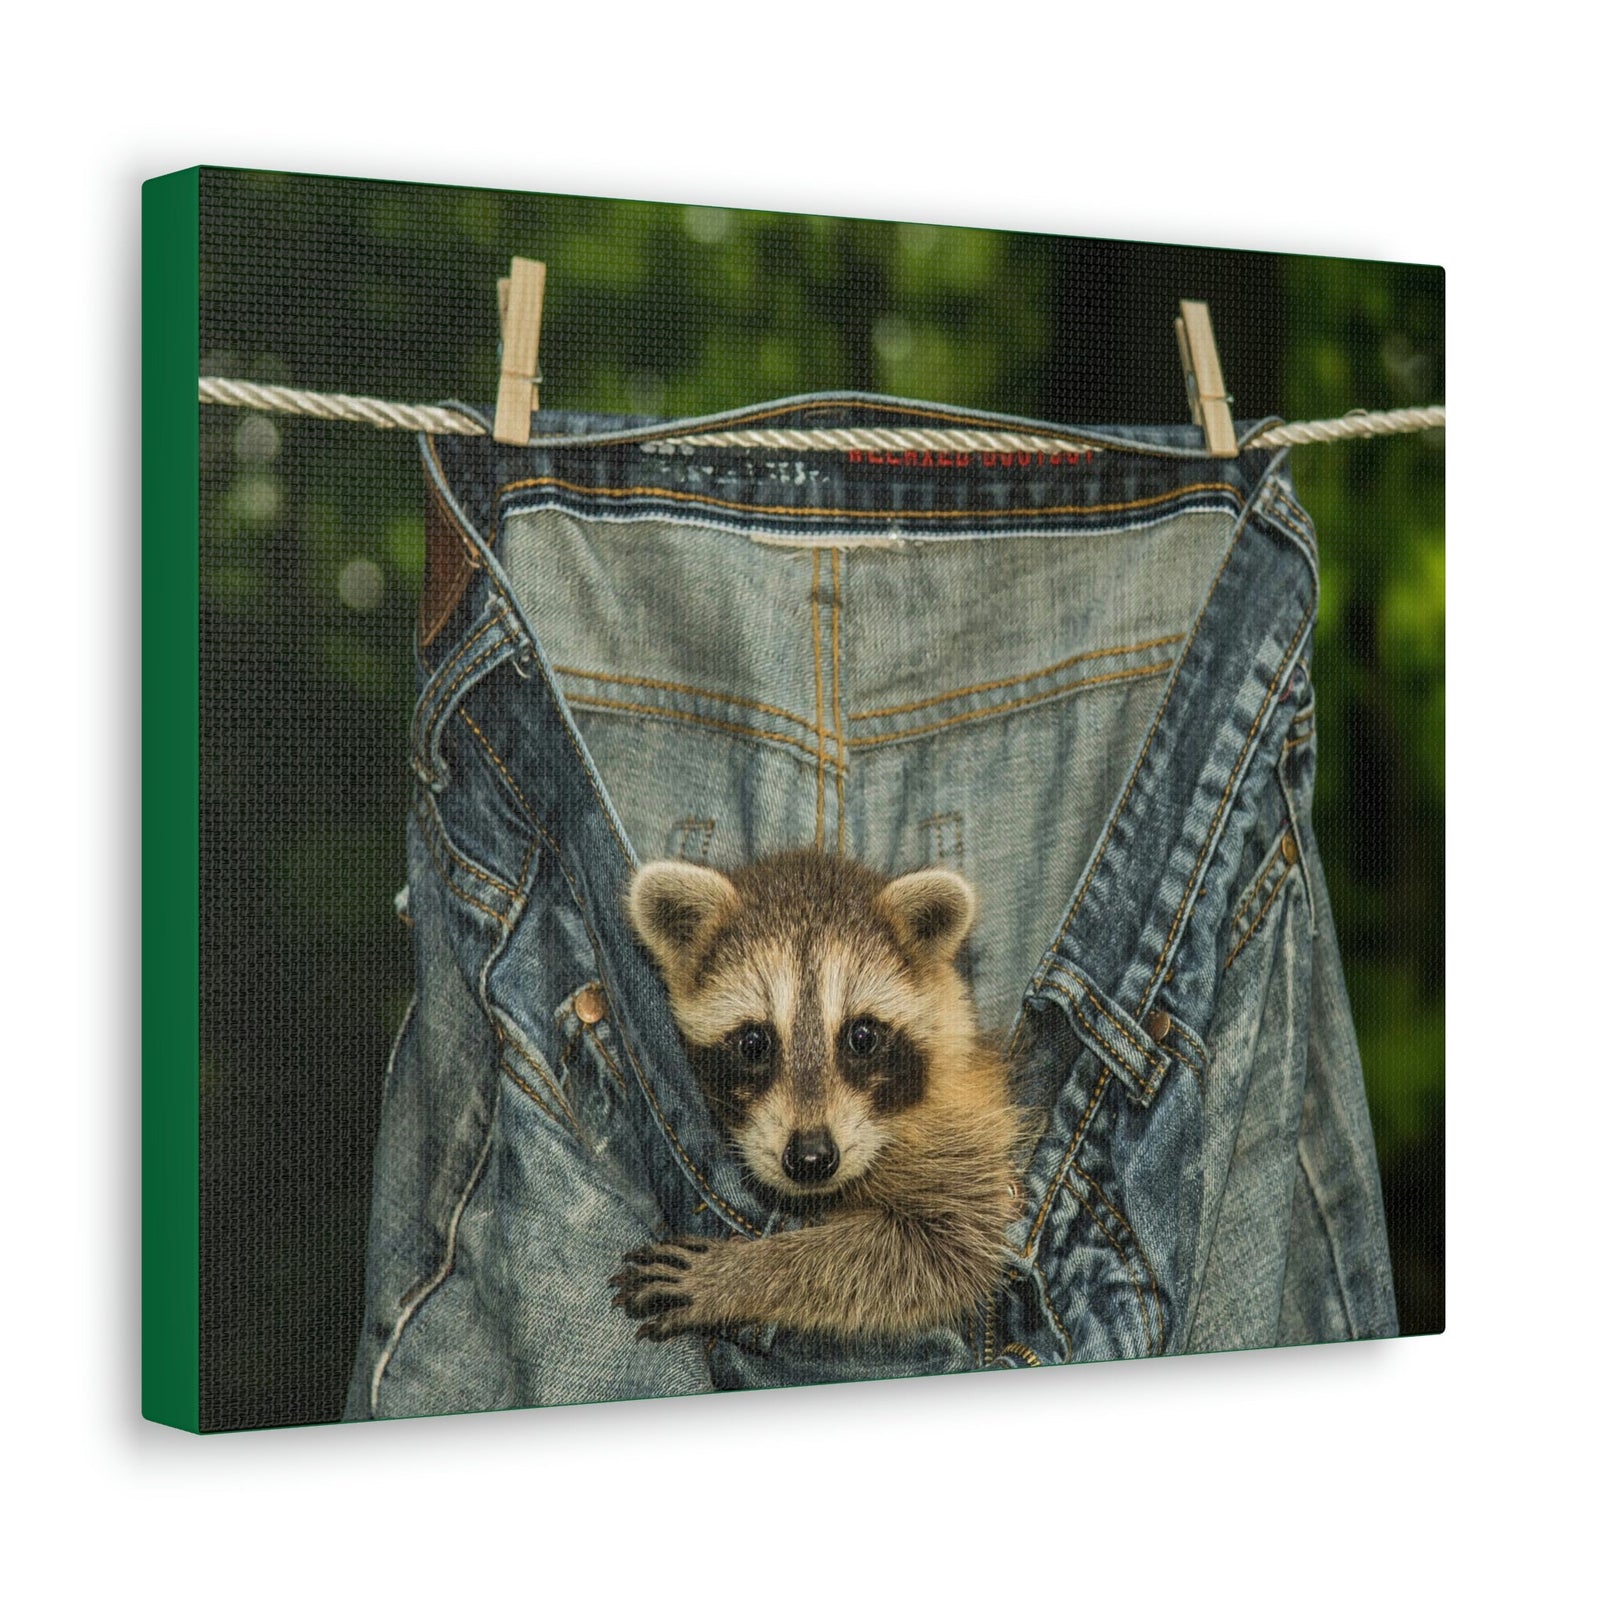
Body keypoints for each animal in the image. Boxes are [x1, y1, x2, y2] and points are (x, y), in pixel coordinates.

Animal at [611, 849, 1022, 1342]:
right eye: (754, 1043)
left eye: (862, 1037)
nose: (810, 1158)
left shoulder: (964, 1131)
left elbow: (940, 1250)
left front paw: (743, 1274)